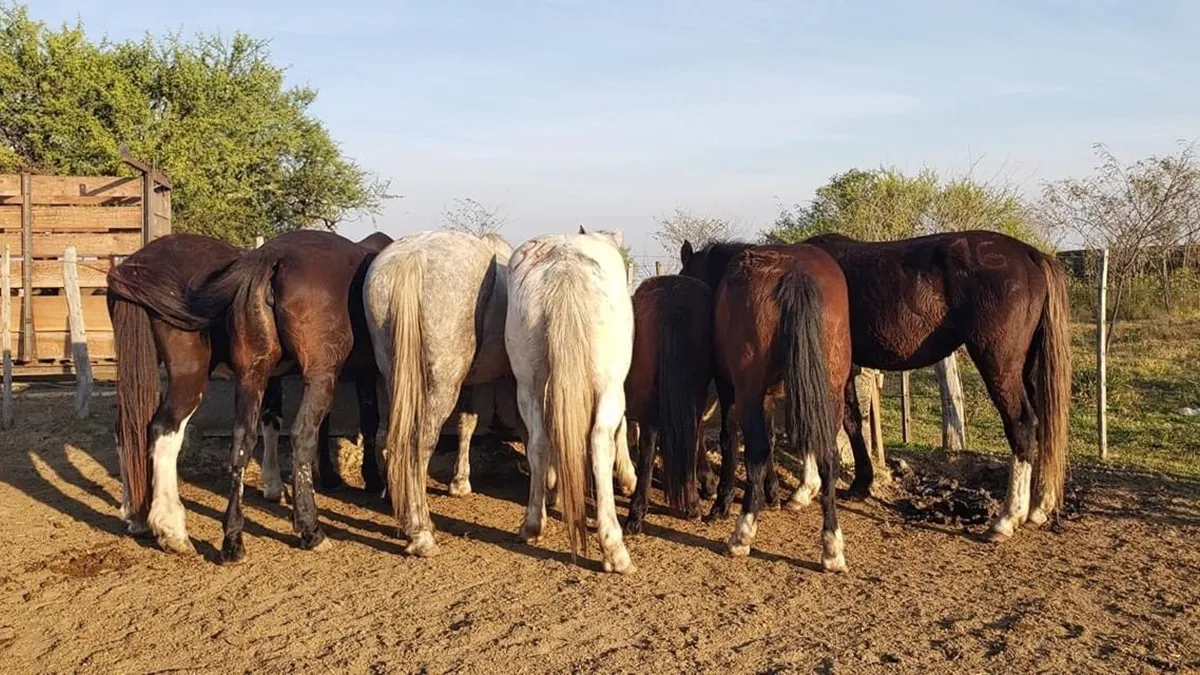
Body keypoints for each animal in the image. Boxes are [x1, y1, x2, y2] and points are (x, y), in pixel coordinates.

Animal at [177, 229, 384, 562]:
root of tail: (271, 258)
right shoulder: (359, 375)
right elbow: (367, 421)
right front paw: (372, 478)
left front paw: (331, 476)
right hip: (318, 375)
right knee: (301, 434)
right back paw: (311, 529)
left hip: (254, 374)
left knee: (242, 442)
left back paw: (233, 539)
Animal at [363, 230, 515, 557]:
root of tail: (412, 259)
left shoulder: (471, 382)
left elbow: (466, 423)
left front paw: (459, 483)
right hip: (440, 384)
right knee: (418, 446)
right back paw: (421, 534)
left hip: (393, 376)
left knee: (386, 438)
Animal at [505, 229, 637, 573]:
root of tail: (564, 267)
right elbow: (622, 427)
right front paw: (628, 477)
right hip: (609, 385)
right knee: (600, 440)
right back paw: (613, 549)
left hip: (528, 383)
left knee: (539, 441)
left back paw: (532, 524)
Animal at [680, 241, 852, 572]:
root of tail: (796, 273)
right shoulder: (770, 396)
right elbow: (772, 439)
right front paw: (771, 494)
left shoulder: (731, 389)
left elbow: (732, 440)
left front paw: (722, 503)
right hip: (830, 395)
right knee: (828, 458)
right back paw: (832, 549)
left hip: (748, 391)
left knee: (756, 451)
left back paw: (742, 535)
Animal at [803, 231, 1071, 541]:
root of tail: (1031, 255)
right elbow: (851, 420)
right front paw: (860, 484)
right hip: (1026, 366)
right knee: (1042, 424)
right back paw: (1038, 507)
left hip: (1000, 365)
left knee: (1023, 424)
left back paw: (1006, 520)